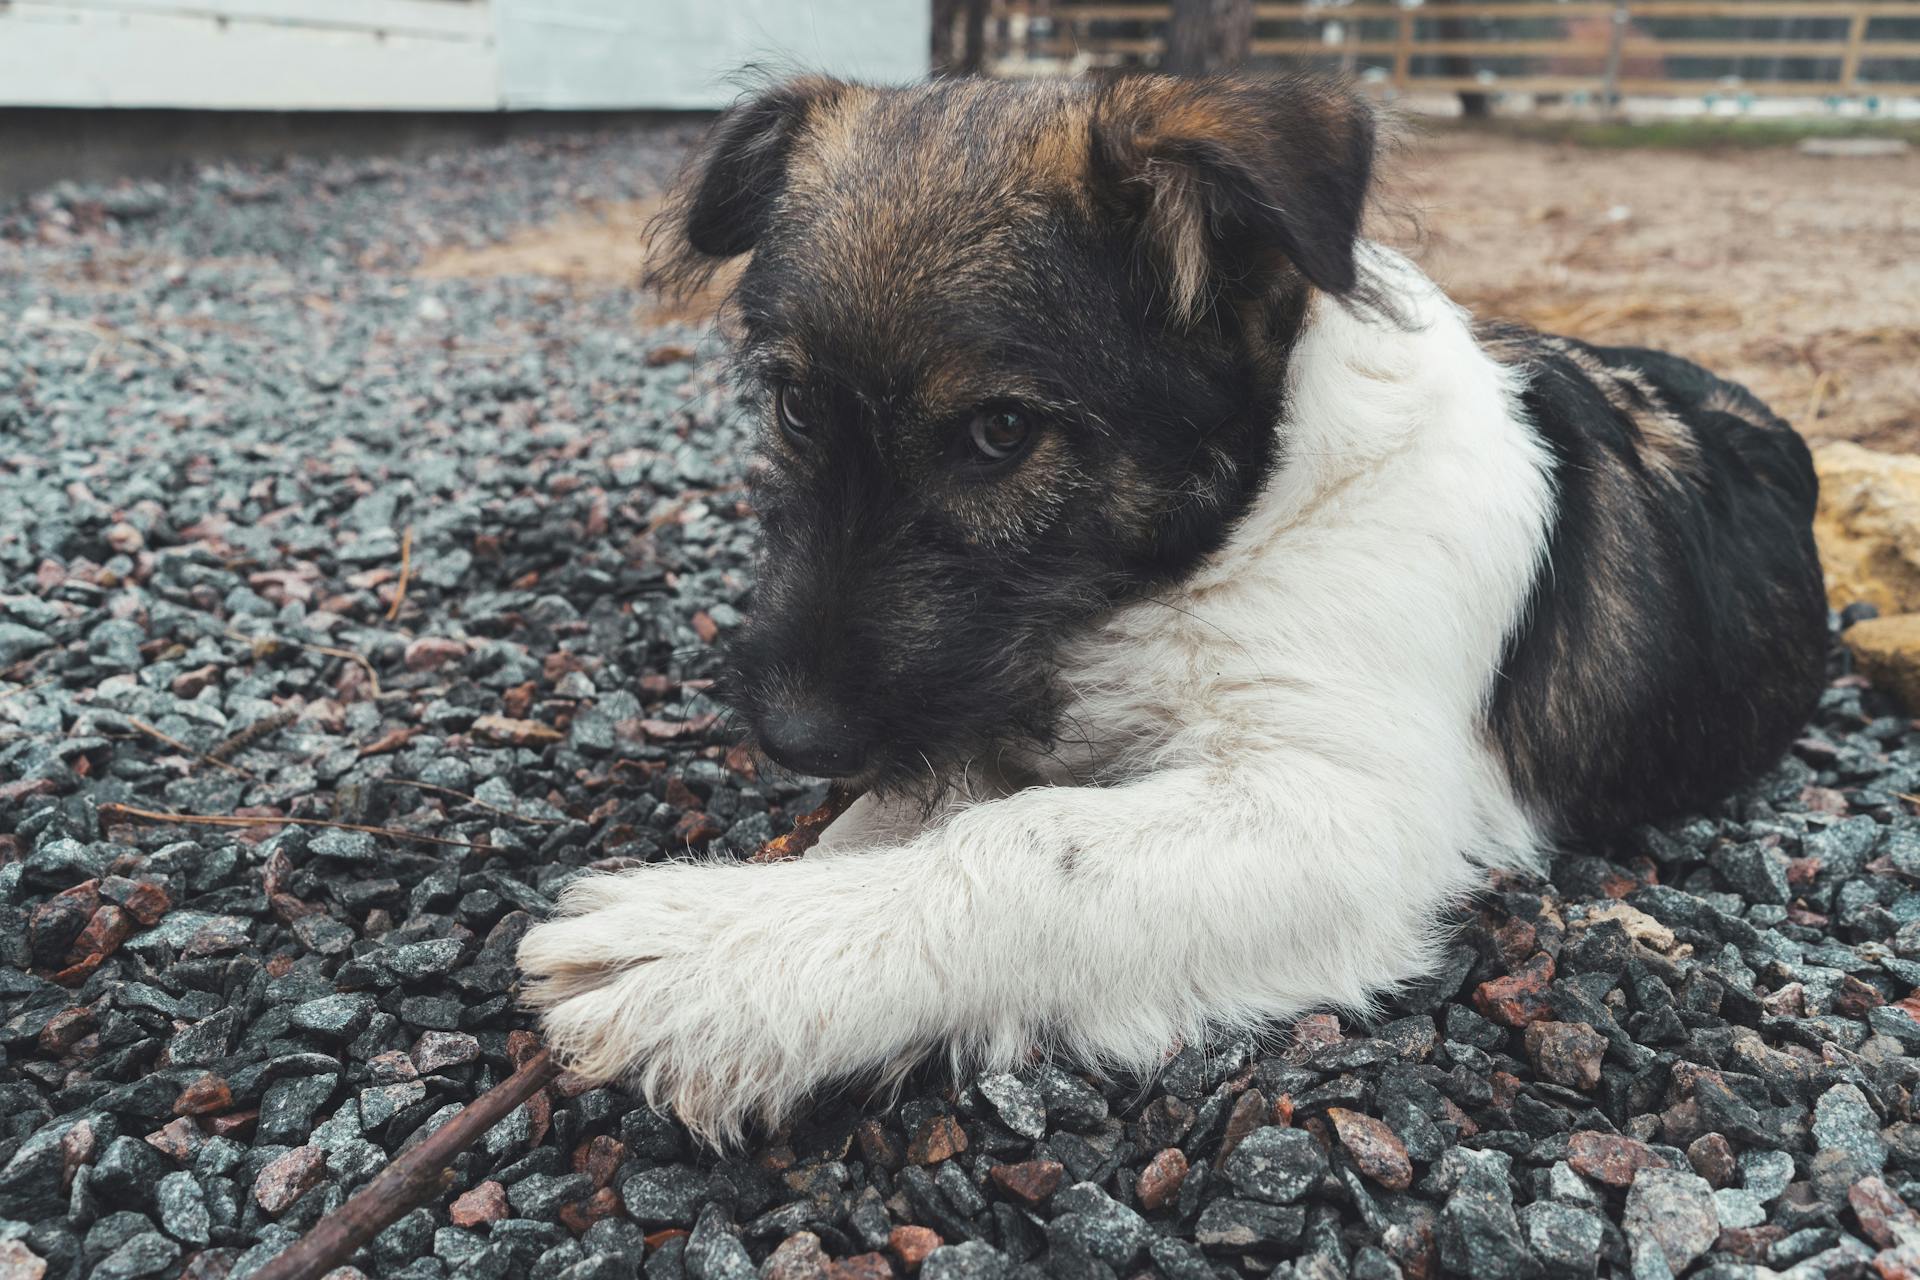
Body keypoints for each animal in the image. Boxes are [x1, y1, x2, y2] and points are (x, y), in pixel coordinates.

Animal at [522, 72, 1827, 1143]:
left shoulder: (1349, 810)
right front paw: (780, 889)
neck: (1236, 533)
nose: (794, 737)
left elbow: (1030, 847)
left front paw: (721, 956)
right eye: (793, 407)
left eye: (1001, 431)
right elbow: (927, 803)